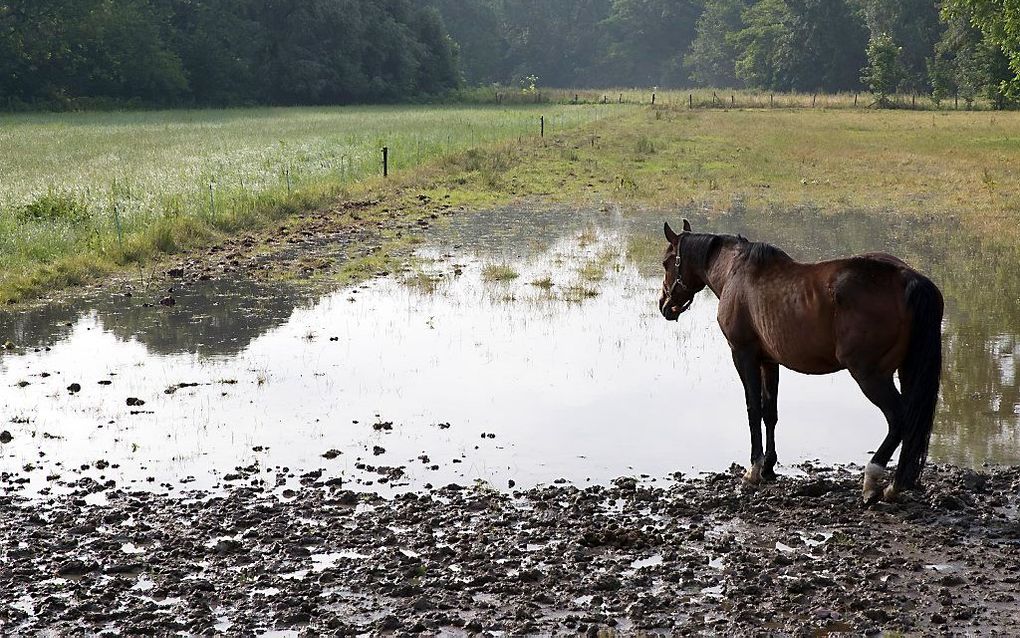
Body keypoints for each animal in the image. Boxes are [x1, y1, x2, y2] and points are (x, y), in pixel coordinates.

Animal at [660, 218, 938, 502]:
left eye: (666, 262)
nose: (665, 306)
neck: (734, 272)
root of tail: (907, 277)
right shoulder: (769, 361)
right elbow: (769, 412)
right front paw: (768, 467)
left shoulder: (743, 354)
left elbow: (753, 408)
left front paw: (753, 470)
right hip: (904, 371)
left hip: (870, 375)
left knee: (899, 418)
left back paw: (874, 481)